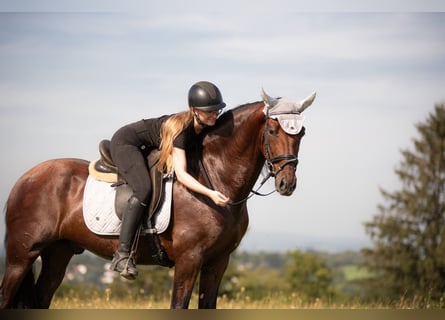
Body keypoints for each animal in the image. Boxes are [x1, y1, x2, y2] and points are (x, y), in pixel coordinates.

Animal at [0, 89, 314, 308]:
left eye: (301, 133)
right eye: (272, 131)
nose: (287, 184)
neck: (214, 175)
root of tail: (25, 178)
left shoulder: (218, 262)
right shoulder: (189, 260)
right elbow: (179, 306)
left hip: (58, 253)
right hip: (21, 255)